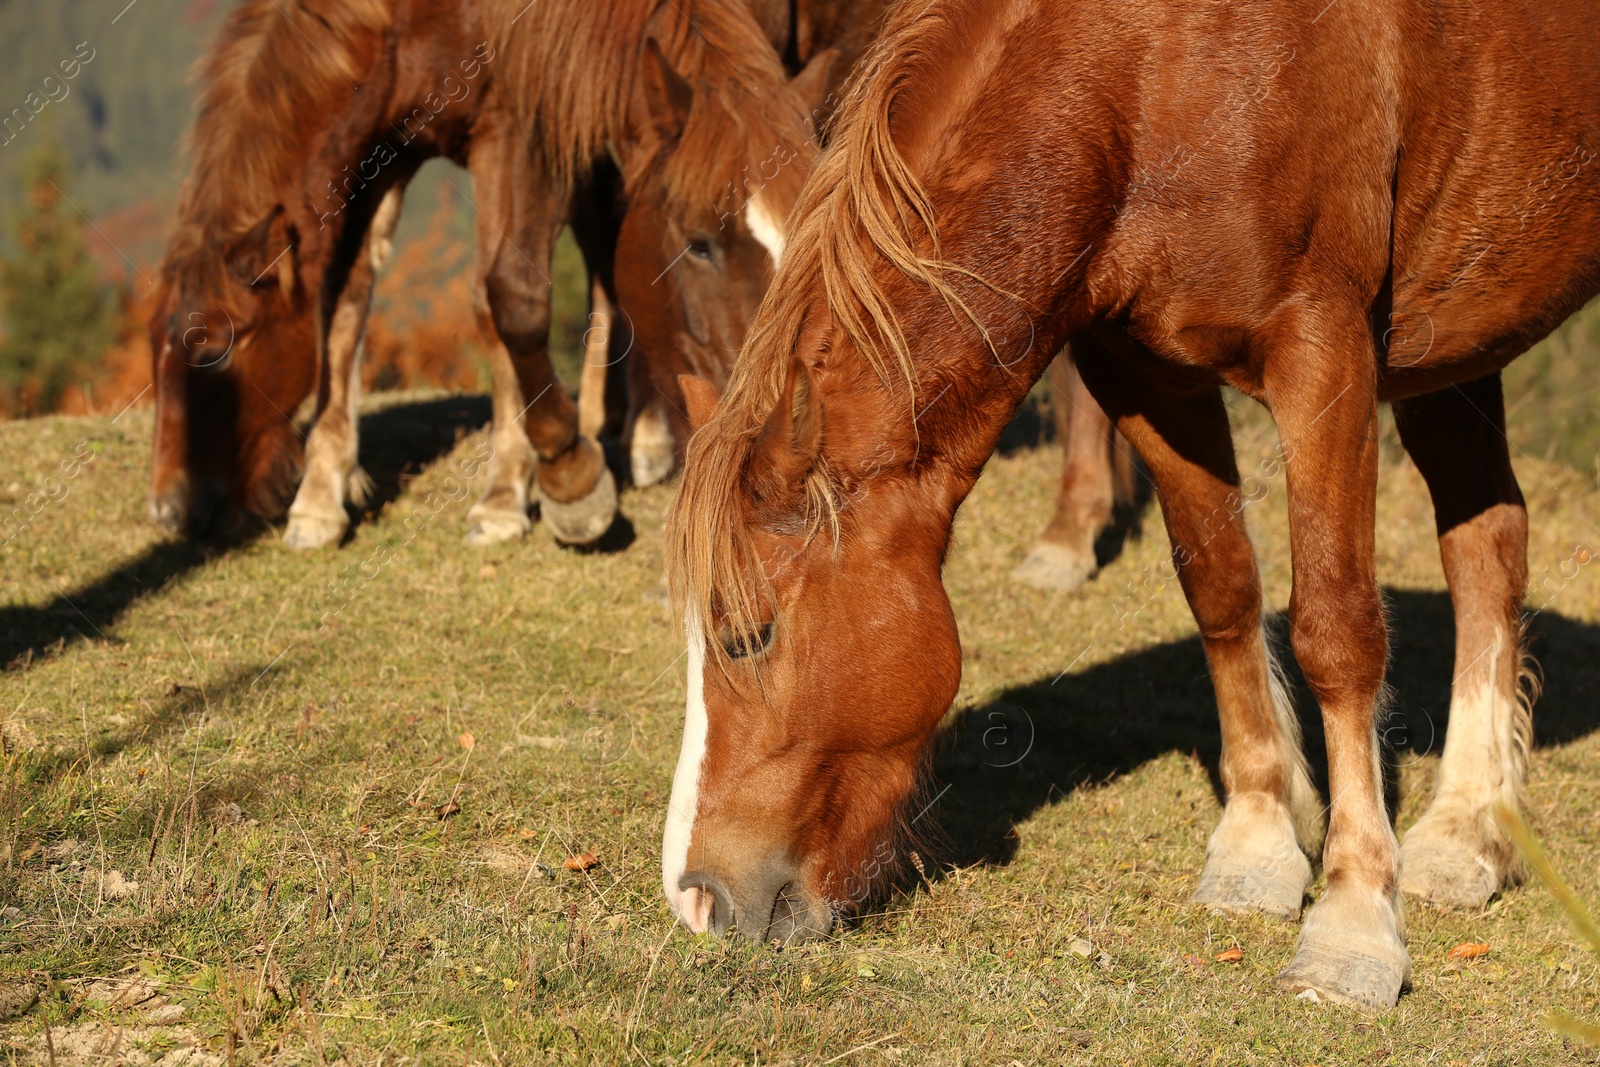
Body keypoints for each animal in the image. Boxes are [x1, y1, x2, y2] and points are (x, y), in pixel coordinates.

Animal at [659, 0, 1587, 1017]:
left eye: (749, 636)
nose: (694, 898)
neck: (1147, 77)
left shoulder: (1326, 353)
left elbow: (1336, 630)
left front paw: (1352, 926)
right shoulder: (1144, 370)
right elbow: (1220, 586)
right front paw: (1259, 841)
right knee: (1487, 538)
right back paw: (1468, 829)